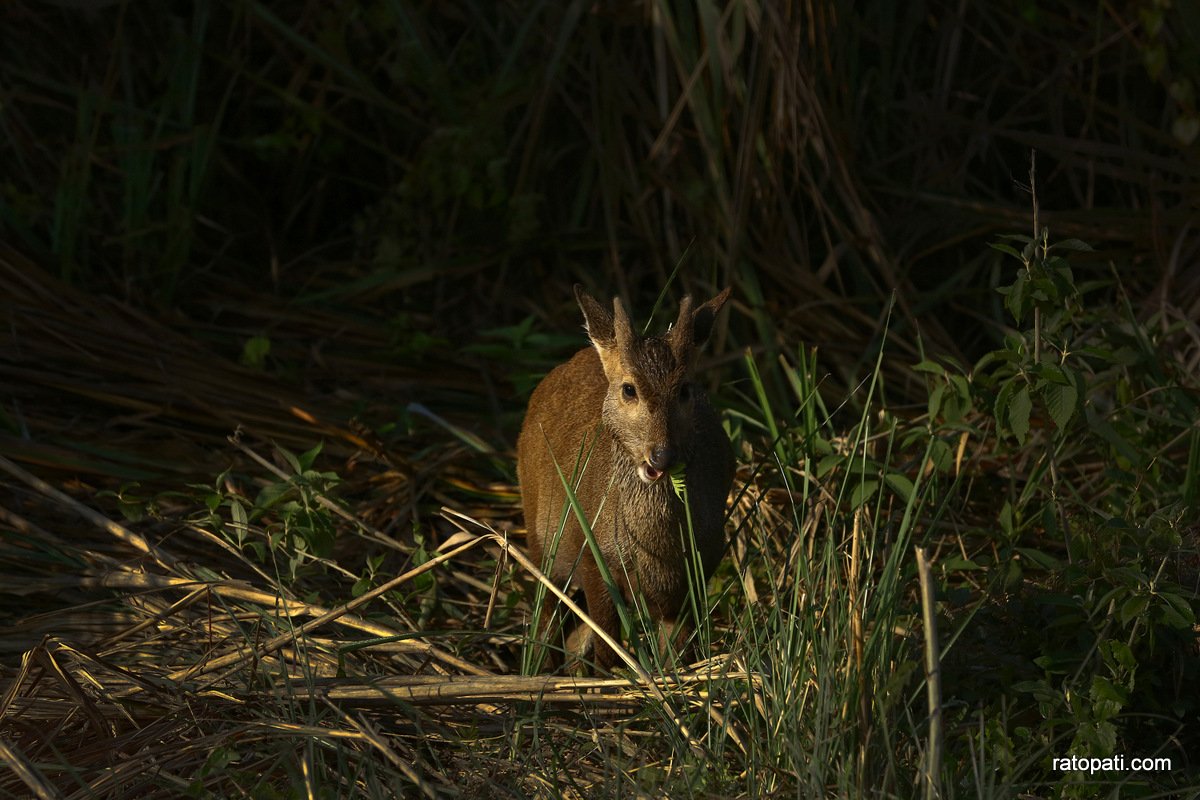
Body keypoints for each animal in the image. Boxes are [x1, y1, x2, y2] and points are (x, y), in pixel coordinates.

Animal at [520, 284, 734, 671]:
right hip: (541, 535)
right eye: (629, 389)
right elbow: (607, 650)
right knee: (548, 617)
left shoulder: (702, 564)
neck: (657, 553)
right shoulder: (591, 555)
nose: (662, 454)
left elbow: (677, 655)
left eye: (685, 389)